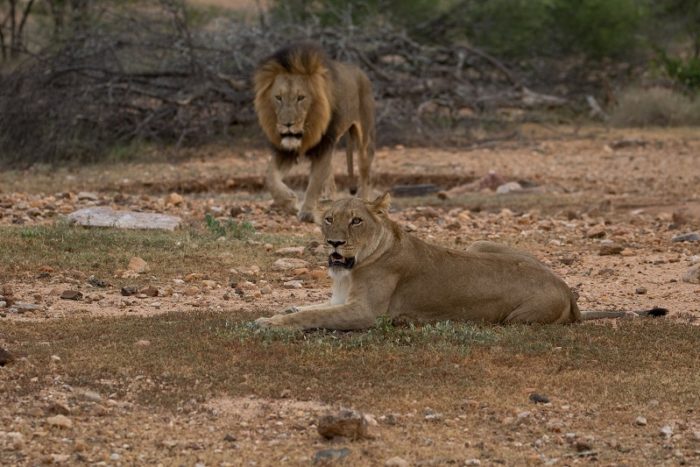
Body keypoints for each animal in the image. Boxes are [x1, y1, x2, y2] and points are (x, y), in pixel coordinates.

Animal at [253, 42, 375, 223]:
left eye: (301, 97)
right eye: (278, 97)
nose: (287, 124)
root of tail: (361, 72)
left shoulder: (324, 145)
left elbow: (315, 181)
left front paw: (307, 212)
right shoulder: (286, 150)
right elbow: (269, 177)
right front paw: (289, 200)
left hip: (363, 137)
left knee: (365, 171)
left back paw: (363, 201)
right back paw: (328, 199)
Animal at [255, 194, 667, 330]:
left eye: (356, 220)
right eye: (329, 218)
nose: (334, 242)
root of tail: (569, 290)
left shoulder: (367, 314)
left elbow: (312, 316)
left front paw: (269, 324)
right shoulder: (341, 299)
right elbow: (308, 307)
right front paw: (276, 312)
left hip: (514, 319)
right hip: (479, 242)